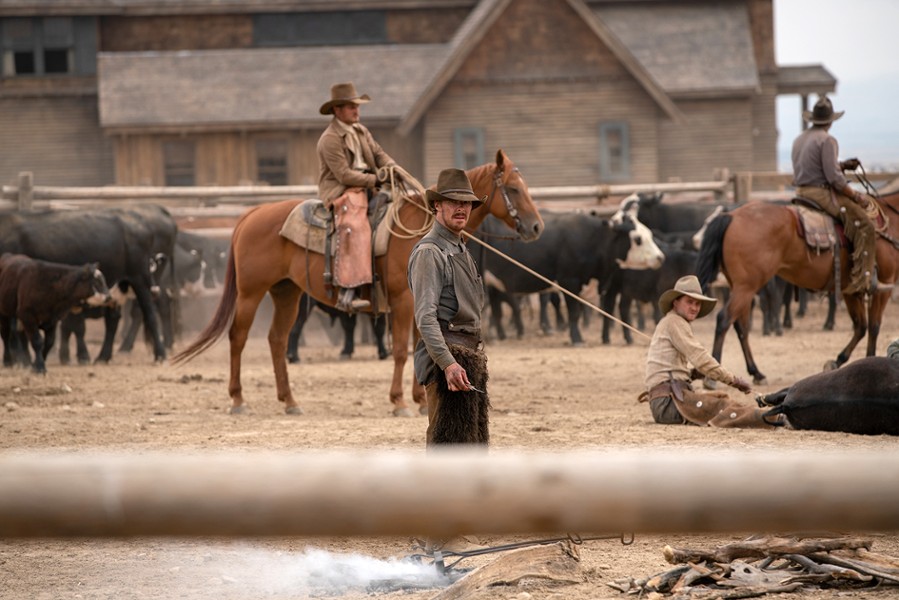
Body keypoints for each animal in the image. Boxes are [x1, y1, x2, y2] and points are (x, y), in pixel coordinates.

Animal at [172, 149, 544, 412]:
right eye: (514, 189)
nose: (537, 226)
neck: (419, 227)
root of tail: (252, 213)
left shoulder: (419, 302)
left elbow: (420, 344)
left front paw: (419, 399)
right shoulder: (404, 300)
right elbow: (400, 349)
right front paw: (399, 401)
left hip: (286, 292)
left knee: (277, 339)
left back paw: (290, 401)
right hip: (251, 292)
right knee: (238, 337)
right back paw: (238, 400)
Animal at [468, 198, 664, 346]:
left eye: (649, 233)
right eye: (638, 239)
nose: (660, 257)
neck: (593, 238)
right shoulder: (569, 282)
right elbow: (574, 313)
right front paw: (576, 338)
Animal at [700, 191, 899, 384]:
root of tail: (731, 216)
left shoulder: (851, 290)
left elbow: (861, 326)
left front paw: (837, 361)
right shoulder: (885, 284)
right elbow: (873, 326)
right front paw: (869, 360)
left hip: (741, 287)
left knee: (741, 326)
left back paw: (756, 373)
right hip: (746, 287)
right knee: (724, 319)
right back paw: (713, 377)